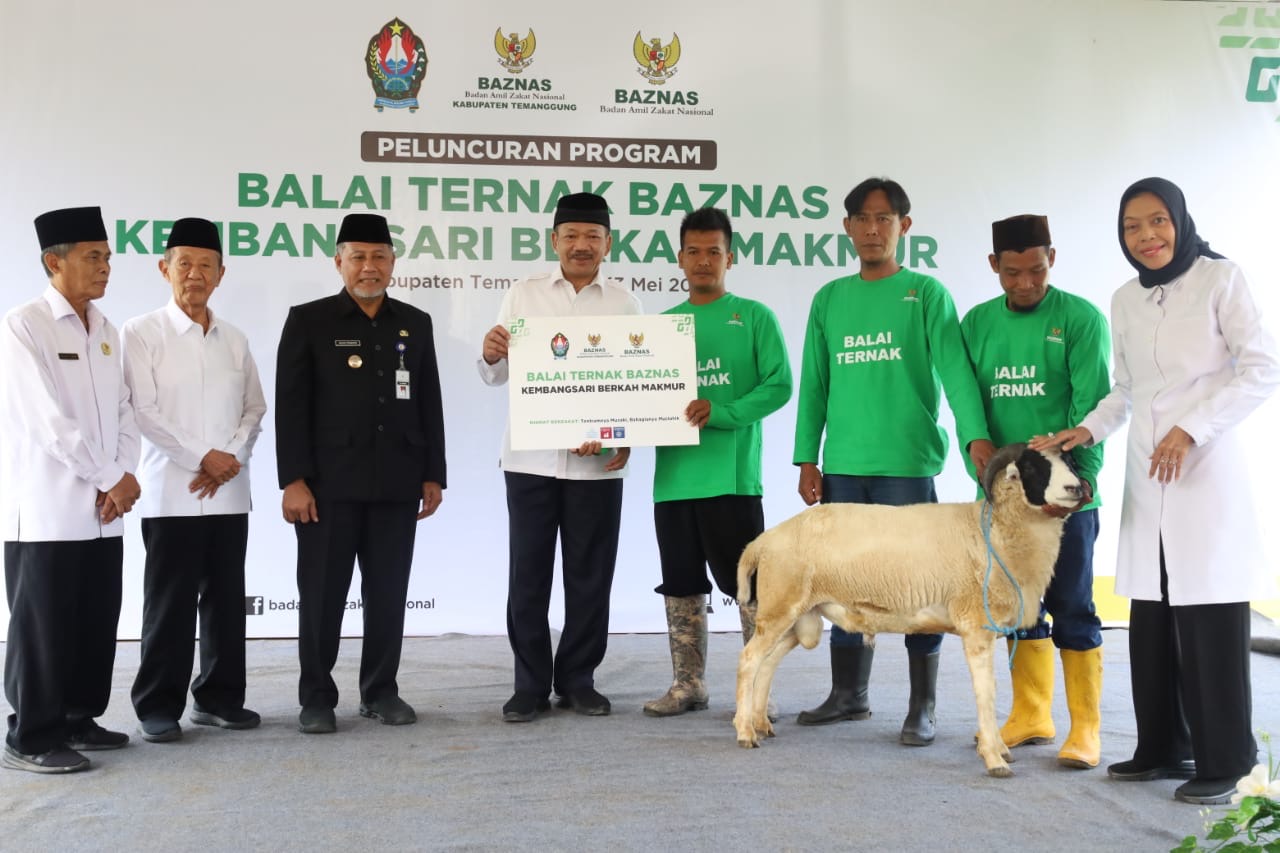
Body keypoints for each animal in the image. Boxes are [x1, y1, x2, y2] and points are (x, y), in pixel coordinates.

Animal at [737, 440, 1085, 773]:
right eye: (1032, 466)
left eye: (1069, 461)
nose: (1075, 489)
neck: (991, 532)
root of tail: (762, 542)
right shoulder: (976, 628)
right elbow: (986, 693)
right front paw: (994, 759)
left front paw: (1001, 749)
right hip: (780, 606)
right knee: (749, 660)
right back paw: (744, 732)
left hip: (797, 618)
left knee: (767, 663)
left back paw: (761, 723)